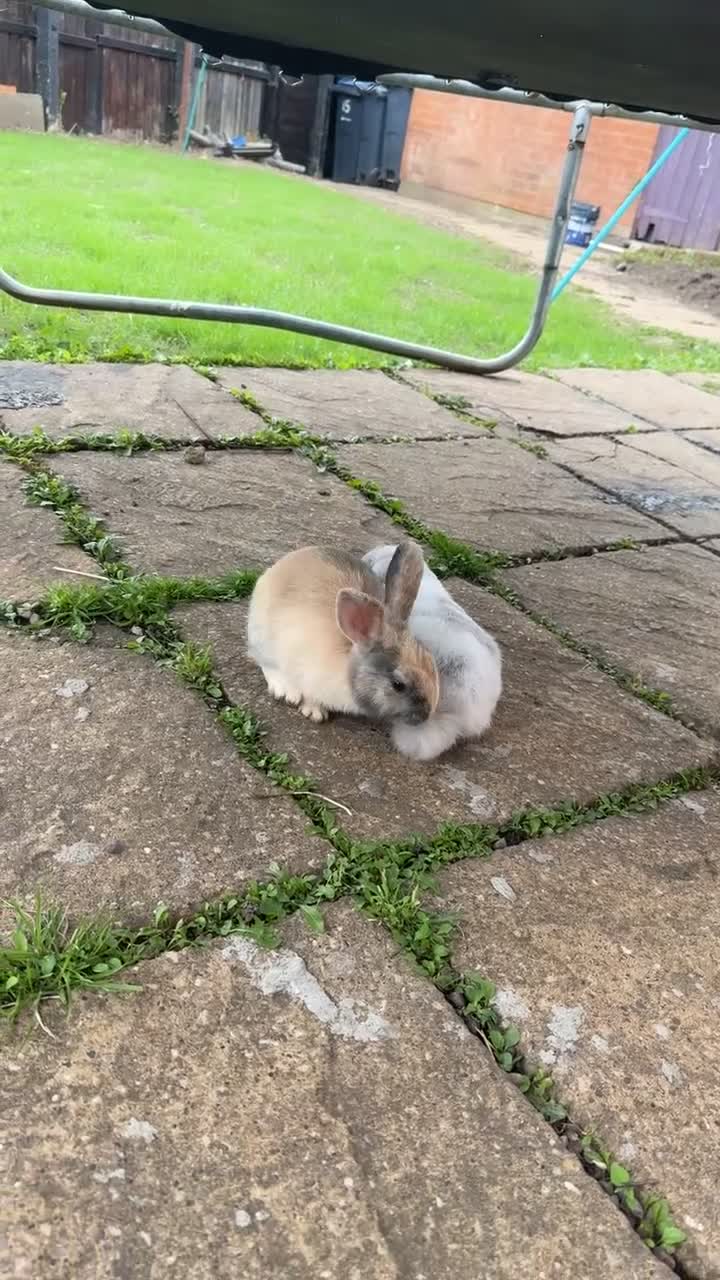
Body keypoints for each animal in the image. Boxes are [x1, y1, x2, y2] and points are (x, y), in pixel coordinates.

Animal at [246, 542, 440, 733]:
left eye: (431, 662)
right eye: (398, 685)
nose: (426, 715)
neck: (348, 672)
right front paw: (315, 712)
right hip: (261, 637)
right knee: (264, 662)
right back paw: (285, 691)